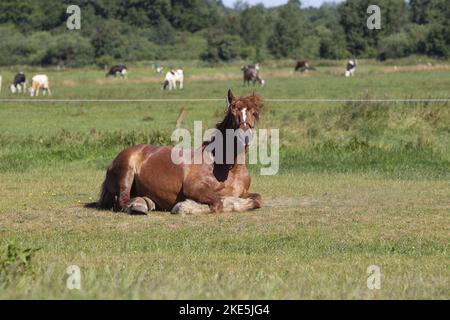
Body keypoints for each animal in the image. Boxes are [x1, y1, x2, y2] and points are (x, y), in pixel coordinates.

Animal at [91, 89, 264, 215]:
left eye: (254, 113)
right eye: (233, 114)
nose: (244, 136)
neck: (228, 168)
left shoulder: (244, 193)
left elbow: (258, 199)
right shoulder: (194, 187)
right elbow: (217, 203)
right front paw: (185, 206)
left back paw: (146, 202)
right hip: (126, 172)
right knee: (122, 201)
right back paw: (138, 206)